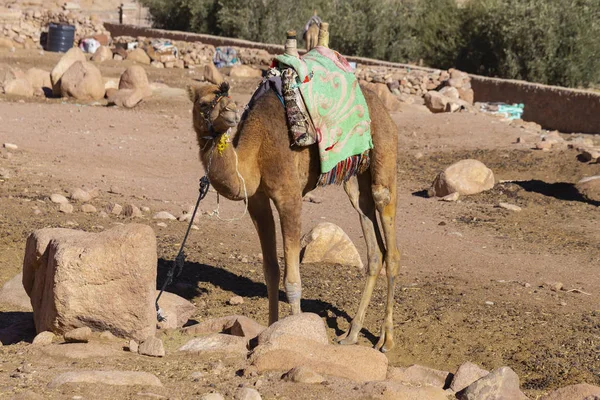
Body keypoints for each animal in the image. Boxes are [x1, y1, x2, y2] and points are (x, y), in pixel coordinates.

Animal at [186, 80, 404, 350]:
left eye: (228, 98)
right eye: (203, 103)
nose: (231, 113)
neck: (256, 150)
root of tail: (384, 109)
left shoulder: (289, 197)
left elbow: (292, 280)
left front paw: (297, 335)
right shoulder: (258, 203)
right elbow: (271, 272)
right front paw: (268, 332)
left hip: (384, 151)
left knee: (389, 235)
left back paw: (387, 339)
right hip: (355, 175)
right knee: (373, 243)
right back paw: (351, 334)